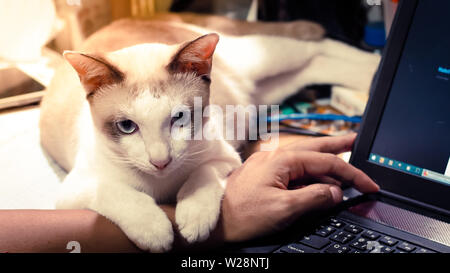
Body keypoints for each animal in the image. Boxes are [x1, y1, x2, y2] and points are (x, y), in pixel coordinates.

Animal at [39, 19, 380, 253]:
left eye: (178, 118)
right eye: (126, 126)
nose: (160, 161)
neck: (162, 186)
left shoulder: (224, 157)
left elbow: (200, 178)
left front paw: (193, 219)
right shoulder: (77, 190)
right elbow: (121, 195)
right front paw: (156, 231)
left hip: (261, 60)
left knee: (318, 46)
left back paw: (378, 66)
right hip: (272, 86)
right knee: (317, 63)